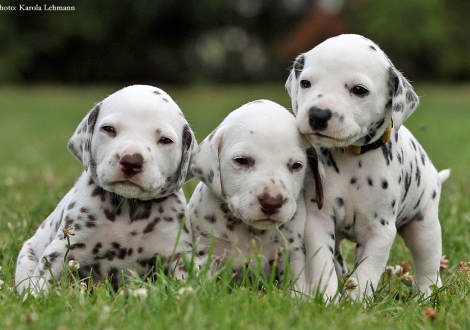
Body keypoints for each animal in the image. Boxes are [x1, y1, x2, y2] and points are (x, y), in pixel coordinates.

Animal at [14, 85, 195, 296]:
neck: (130, 209)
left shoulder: (178, 253)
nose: (131, 161)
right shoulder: (65, 246)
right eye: (109, 129)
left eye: (165, 140)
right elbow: (44, 277)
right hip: (26, 255)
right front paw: (36, 298)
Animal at [187, 100, 324, 294]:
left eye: (296, 165)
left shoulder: (292, 255)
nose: (272, 202)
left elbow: (297, 289)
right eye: (242, 160)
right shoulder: (206, 253)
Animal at [284, 34, 450, 302]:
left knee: (428, 262)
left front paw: (355, 303)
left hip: (425, 226)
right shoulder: (318, 220)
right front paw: (326, 298)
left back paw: (425, 294)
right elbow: (322, 263)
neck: (351, 158)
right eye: (305, 82)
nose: (318, 115)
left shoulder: (379, 230)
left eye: (359, 90)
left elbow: (367, 272)